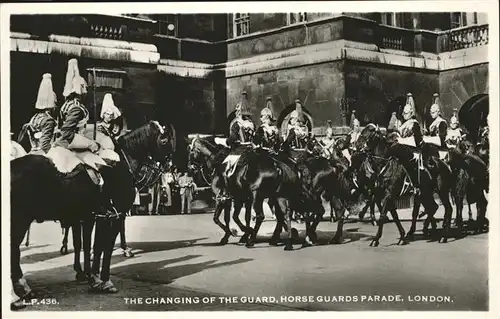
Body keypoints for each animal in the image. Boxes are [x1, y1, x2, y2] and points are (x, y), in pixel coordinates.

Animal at [10, 120, 174, 310]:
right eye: (164, 140)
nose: (169, 166)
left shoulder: (95, 216)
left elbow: (94, 246)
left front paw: (93, 278)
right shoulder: (115, 216)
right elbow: (106, 247)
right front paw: (105, 281)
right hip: (20, 220)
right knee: (13, 250)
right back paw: (21, 291)